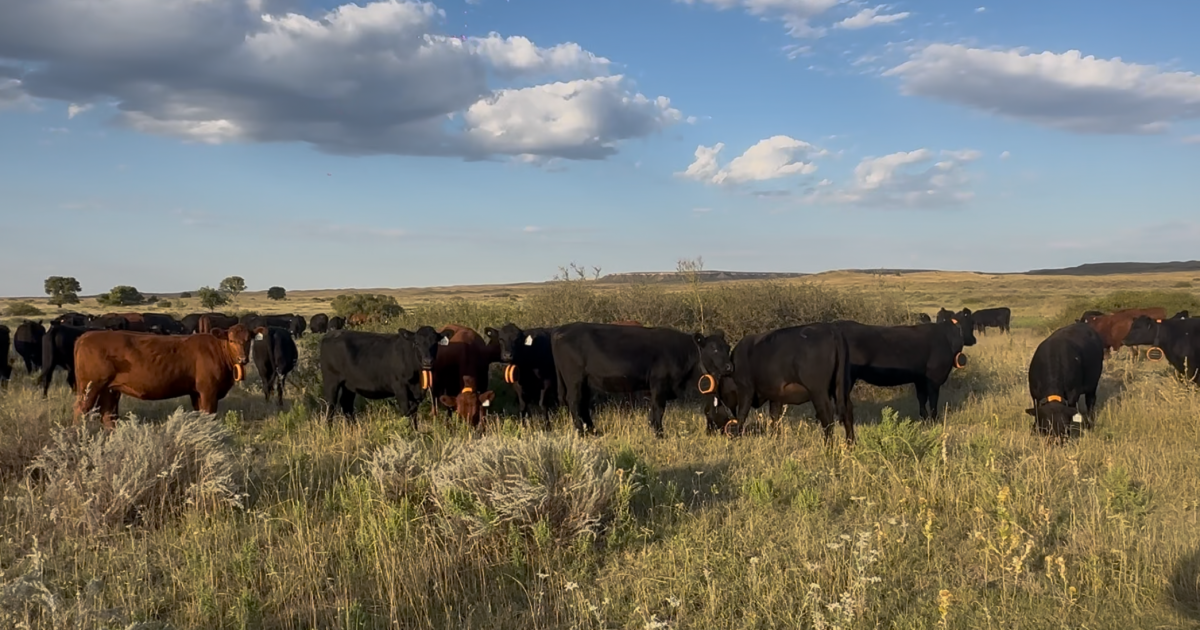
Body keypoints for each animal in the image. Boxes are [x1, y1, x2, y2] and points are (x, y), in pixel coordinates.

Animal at [72, 324, 261, 429]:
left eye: (248, 340)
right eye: (232, 340)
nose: (243, 359)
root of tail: (85, 336)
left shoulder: (196, 393)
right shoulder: (208, 392)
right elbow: (208, 415)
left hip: (109, 390)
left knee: (108, 416)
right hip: (90, 387)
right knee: (80, 411)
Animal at [319, 327, 450, 428]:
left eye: (435, 343)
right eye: (416, 343)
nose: (427, 361)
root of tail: (331, 334)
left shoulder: (417, 393)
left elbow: (413, 413)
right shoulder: (400, 387)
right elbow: (406, 411)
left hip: (349, 385)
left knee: (346, 405)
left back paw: (354, 429)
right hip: (331, 380)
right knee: (330, 405)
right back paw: (329, 430)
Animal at [551, 323, 733, 436]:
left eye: (728, 347)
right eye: (714, 348)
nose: (729, 366)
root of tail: (561, 330)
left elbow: (653, 410)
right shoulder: (659, 383)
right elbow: (659, 409)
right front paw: (659, 434)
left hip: (585, 381)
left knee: (583, 404)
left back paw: (593, 431)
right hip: (574, 380)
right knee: (574, 402)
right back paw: (581, 432)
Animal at [709, 323, 855, 443]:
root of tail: (831, 329)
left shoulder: (746, 390)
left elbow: (742, 414)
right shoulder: (776, 395)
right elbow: (775, 417)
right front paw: (774, 438)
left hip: (819, 392)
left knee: (827, 416)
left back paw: (828, 446)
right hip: (841, 389)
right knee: (847, 413)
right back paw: (850, 445)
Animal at [835, 310, 977, 420]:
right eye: (972, 323)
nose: (974, 340)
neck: (946, 337)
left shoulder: (920, 379)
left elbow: (922, 399)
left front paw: (924, 419)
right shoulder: (935, 378)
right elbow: (933, 400)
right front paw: (934, 419)